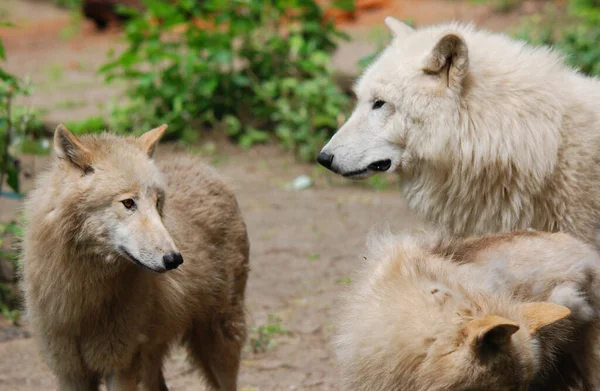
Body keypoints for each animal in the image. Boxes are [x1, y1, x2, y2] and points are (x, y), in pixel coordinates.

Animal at [18, 124, 248, 390]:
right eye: (128, 203)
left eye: (158, 203)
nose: (175, 259)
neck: (83, 297)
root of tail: (199, 164)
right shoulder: (71, 373)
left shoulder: (120, 368)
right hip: (151, 360)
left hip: (219, 342)